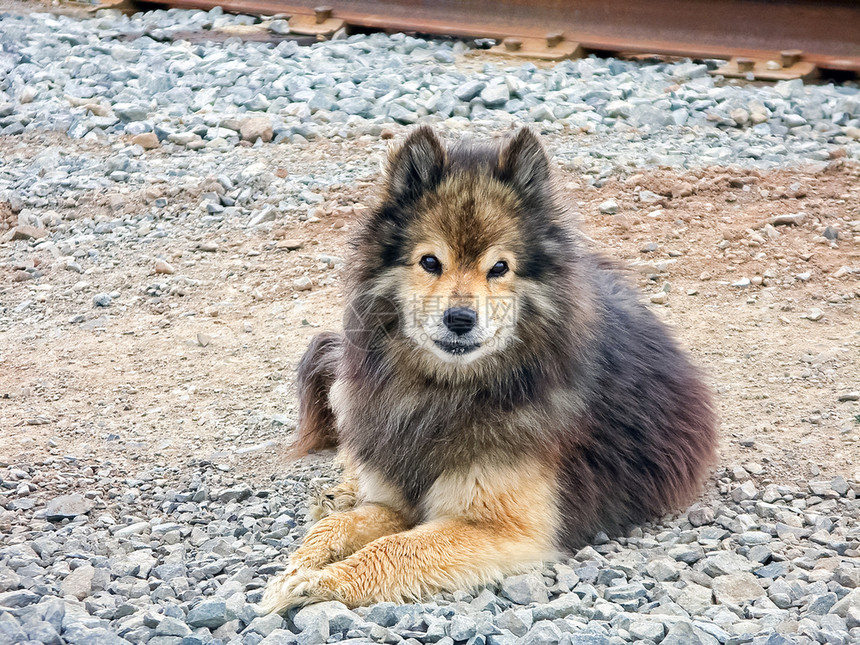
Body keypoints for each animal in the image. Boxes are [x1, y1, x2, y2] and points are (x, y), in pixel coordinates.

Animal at [264, 124, 720, 608]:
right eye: (430, 262)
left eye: (499, 267)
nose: (460, 319)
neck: (445, 392)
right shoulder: (392, 496)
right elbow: (336, 529)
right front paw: (297, 567)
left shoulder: (503, 527)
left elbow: (396, 548)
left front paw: (319, 581)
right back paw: (339, 491)